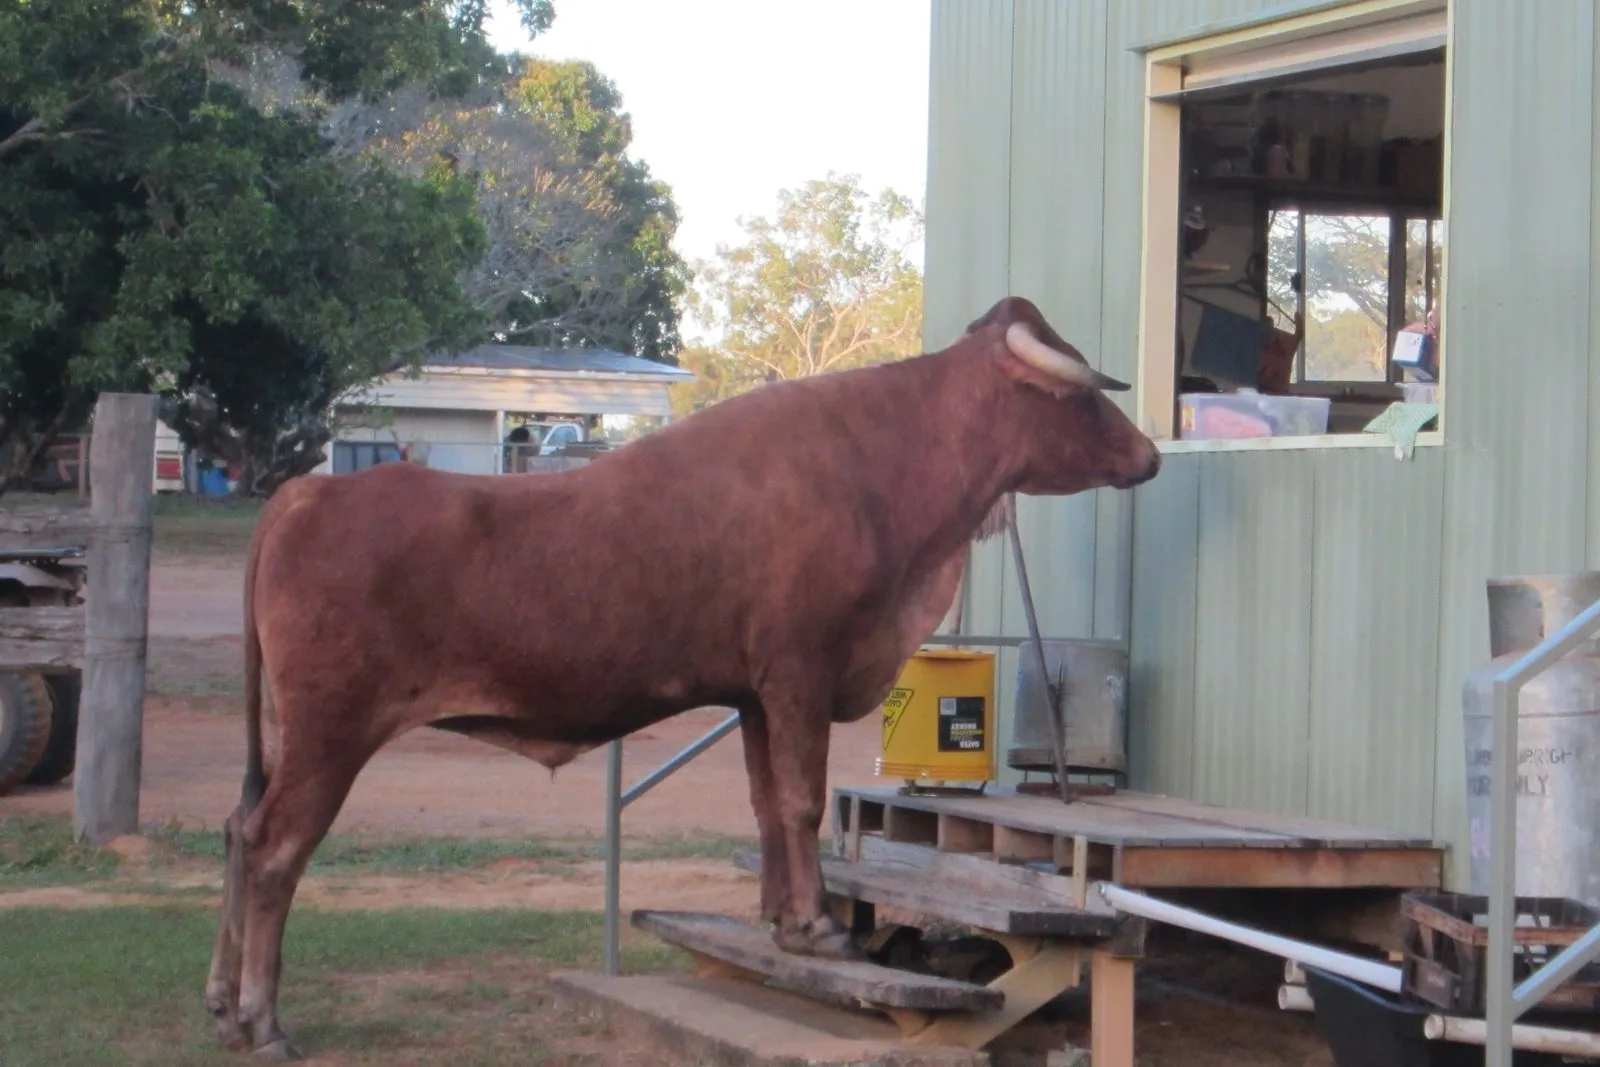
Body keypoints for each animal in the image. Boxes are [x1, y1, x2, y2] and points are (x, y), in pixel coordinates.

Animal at [203, 295, 1161, 1058]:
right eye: (1081, 394)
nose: (1151, 453)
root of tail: (307, 493)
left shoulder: (753, 692)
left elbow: (768, 804)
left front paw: (784, 921)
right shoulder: (801, 671)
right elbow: (802, 800)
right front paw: (821, 929)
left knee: (238, 827)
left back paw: (221, 1001)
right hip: (330, 731)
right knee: (274, 846)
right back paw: (263, 1018)